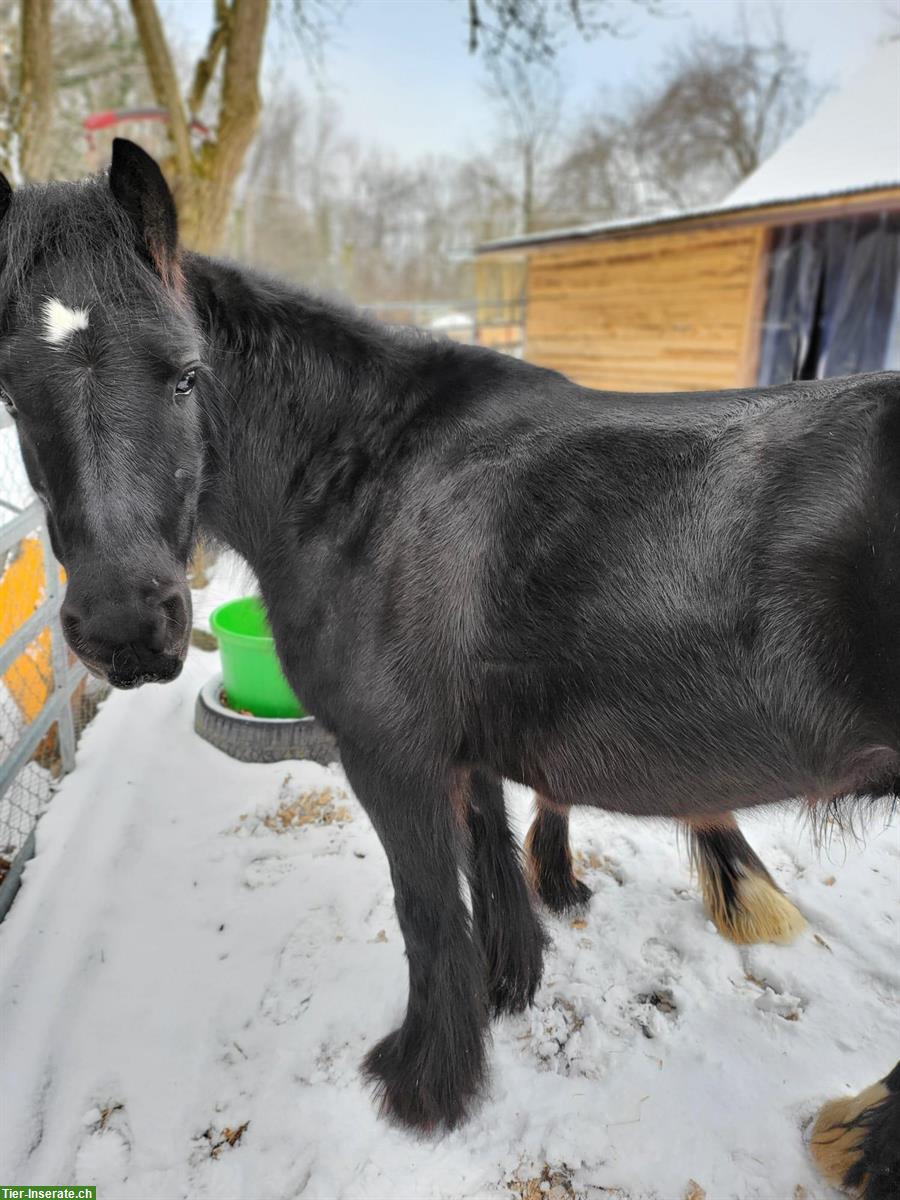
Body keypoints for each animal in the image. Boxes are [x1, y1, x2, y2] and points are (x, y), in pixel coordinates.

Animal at [1, 142, 900, 1171]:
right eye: (13, 395)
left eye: (185, 375)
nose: (124, 625)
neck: (363, 476)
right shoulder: (461, 748)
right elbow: (490, 856)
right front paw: (510, 985)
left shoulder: (391, 756)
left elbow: (427, 910)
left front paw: (424, 1085)